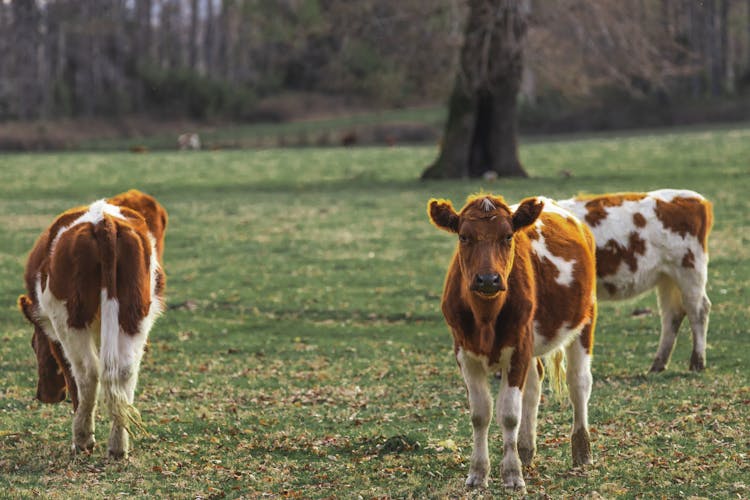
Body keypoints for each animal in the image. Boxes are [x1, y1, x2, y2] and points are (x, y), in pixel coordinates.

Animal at [18, 189, 168, 458]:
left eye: (34, 346)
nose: (44, 395)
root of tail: (103, 223)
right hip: (135, 314)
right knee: (124, 371)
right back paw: (119, 446)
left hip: (70, 318)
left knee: (87, 373)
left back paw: (82, 438)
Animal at [428, 194, 600, 488]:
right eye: (464, 236)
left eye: (508, 236)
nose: (488, 279)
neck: (485, 318)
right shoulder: (464, 353)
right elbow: (480, 414)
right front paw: (478, 473)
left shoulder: (518, 350)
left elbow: (509, 414)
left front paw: (511, 475)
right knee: (533, 385)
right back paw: (525, 450)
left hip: (585, 319)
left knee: (579, 383)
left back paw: (582, 451)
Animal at [560, 189, 716, 374]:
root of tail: (696, 198)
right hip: (667, 277)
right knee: (672, 314)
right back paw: (658, 365)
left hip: (689, 270)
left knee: (698, 310)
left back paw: (697, 363)